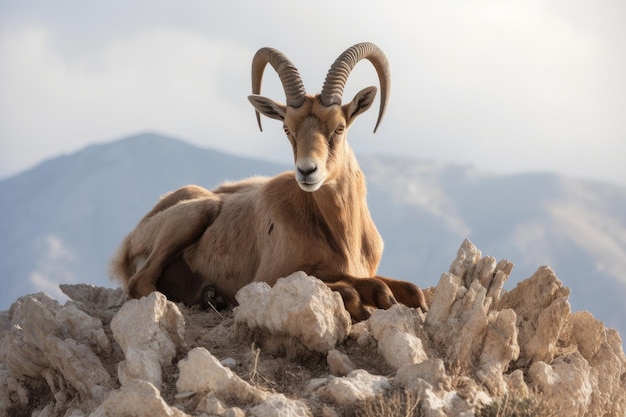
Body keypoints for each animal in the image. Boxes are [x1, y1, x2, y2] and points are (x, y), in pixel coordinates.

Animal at [109, 42, 426, 320]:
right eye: (287, 128)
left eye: (339, 127)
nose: (307, 171)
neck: (343, 234)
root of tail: (127, 245)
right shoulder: (268, 278)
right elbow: (350, 290)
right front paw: (363, 308)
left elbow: (407, 288)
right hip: (198, 212)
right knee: (141, 282)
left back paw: (211, 296)